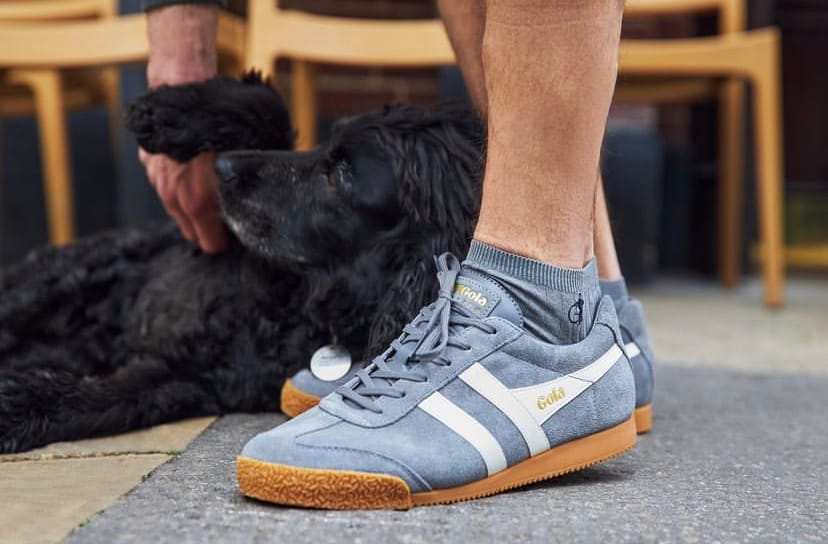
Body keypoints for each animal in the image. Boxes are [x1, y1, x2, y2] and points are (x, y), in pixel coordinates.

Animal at [0, 73, 486, 454]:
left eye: (341, 176)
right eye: (329, 144)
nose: (223, 169)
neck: (298, 301)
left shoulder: (186, 379)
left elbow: (100, 398)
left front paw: (16, 404)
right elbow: (269, 114)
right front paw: (169, 110)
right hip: (44, 286)